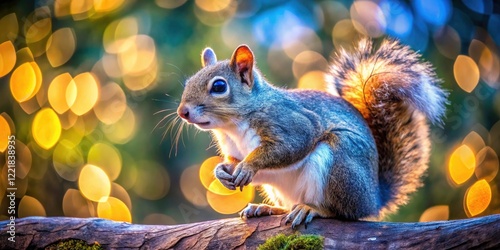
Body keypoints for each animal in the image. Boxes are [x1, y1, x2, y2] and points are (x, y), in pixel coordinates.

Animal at [178, 38, 448, 228]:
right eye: (188, 82)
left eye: (219, 86)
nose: (183, 112)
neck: (232, 126)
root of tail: (374, 198)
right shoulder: (233, 148)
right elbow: (232, 161)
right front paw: (221, 171)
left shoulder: (292, 124)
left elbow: (289, 146)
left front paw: (248, 166)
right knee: (289, 206)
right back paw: (267, 209)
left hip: (340, 163)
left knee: (342, 213)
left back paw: (313, 209)